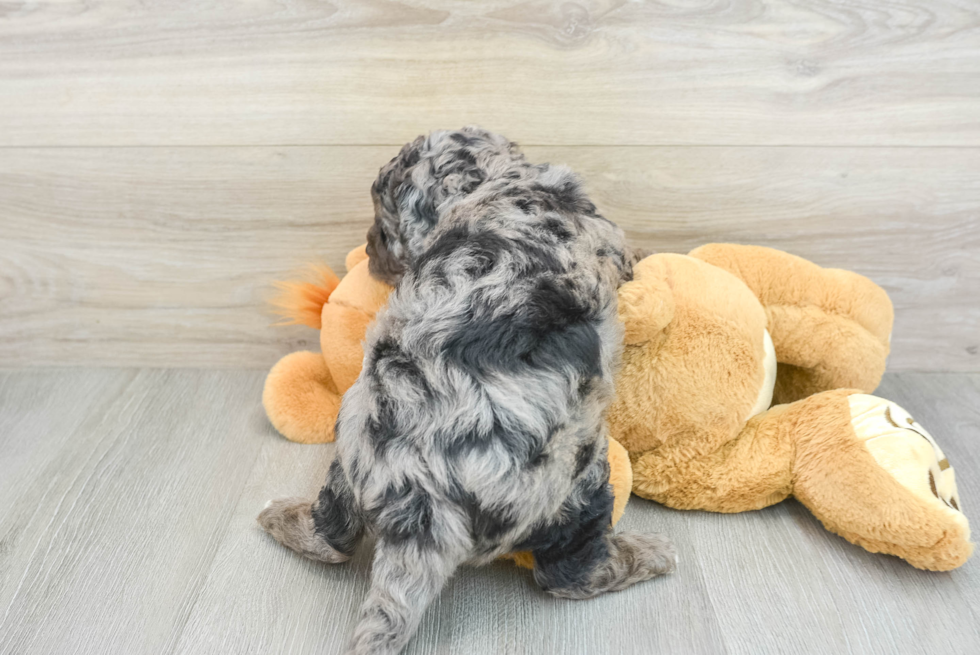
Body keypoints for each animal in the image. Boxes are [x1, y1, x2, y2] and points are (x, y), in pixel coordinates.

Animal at [258, 128, 672, 655]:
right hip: (576, 482)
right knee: (568, 573)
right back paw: (648, 554)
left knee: (332, 537)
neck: (492, 181)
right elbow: (628, 255)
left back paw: (280, 516)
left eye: (383, 227)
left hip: (347, 456)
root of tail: (419, 505)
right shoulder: (606, 237)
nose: (369, 254)